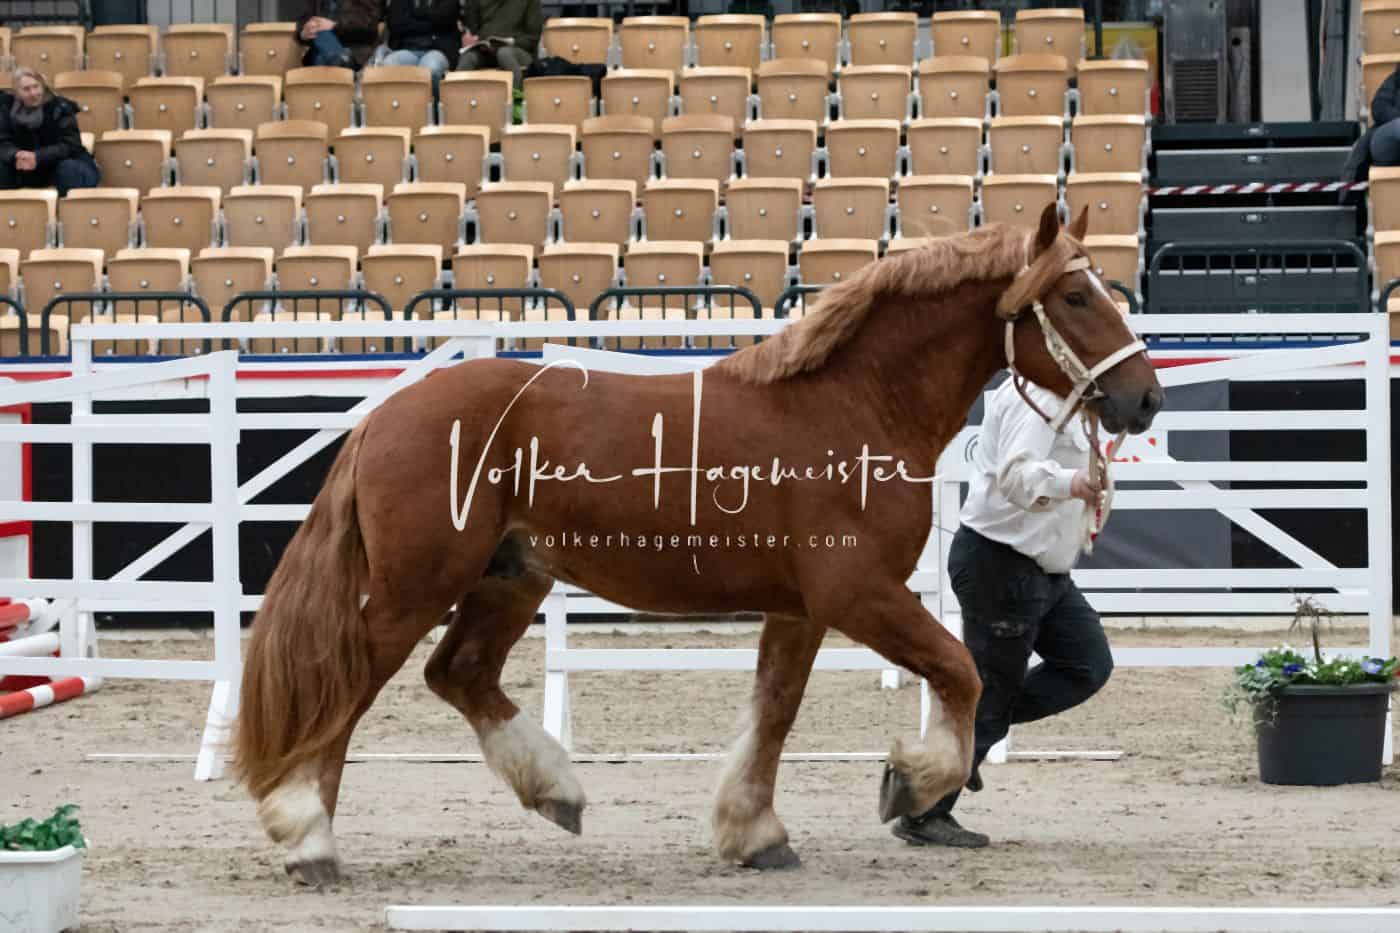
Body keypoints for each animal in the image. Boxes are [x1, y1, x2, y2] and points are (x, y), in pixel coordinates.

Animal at [231, 203, 1164, 885]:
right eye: (1076, 298)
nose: (1145, 398)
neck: (854, 406)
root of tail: (382, 416)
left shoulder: (800, 609)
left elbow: (775, 713)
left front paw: (755, 834)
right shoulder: (858, 593)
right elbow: (962, 673)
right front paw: (911, 781)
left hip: (510, 578)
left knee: (457, 673)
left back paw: (555, 790)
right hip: (412, 590)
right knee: (347, 691)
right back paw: (310, 840)